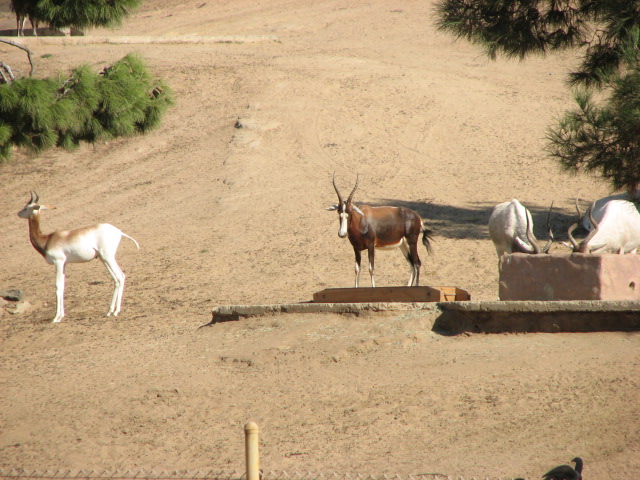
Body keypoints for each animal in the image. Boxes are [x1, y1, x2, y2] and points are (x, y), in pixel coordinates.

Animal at [18, 192, 139, 323]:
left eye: (26, 208)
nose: (18, 213)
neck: (46, 239)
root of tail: (118, 231)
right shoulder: (64, 263)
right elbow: (63, 286)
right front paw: (61, 315)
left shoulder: (58, 262)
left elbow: (58, 286)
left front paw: (56, 318)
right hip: (103, 259)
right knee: (116, 279)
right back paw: (110, 311)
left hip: (107, 257)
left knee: (120, 276)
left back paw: (116, 311)